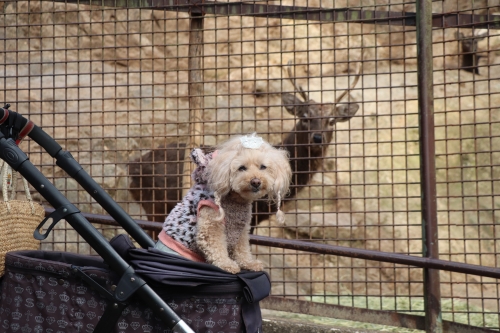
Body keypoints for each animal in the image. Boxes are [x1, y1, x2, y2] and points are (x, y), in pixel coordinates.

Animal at [158, 134, 292, 274]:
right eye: (241, 168)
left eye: (263, 167)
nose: (256, 182)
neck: (235, 200)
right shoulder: (210, 221)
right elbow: (216, 246)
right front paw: (228, 265)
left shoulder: (241, 229)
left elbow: (242, 249)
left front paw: (249, 263)